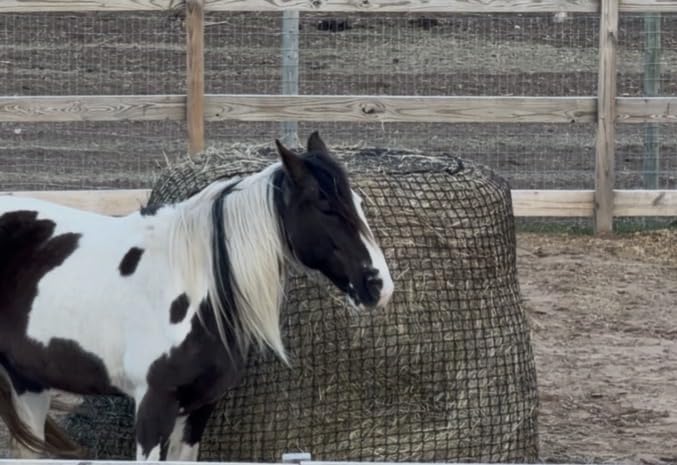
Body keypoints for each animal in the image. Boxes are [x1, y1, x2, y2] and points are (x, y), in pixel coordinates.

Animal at [0, 131, 394, 461]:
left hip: (29, 383)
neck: (196, 285)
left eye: (358, 202)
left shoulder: (198, 409)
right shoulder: (154, 403)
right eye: (325, 206)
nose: (378, 285)